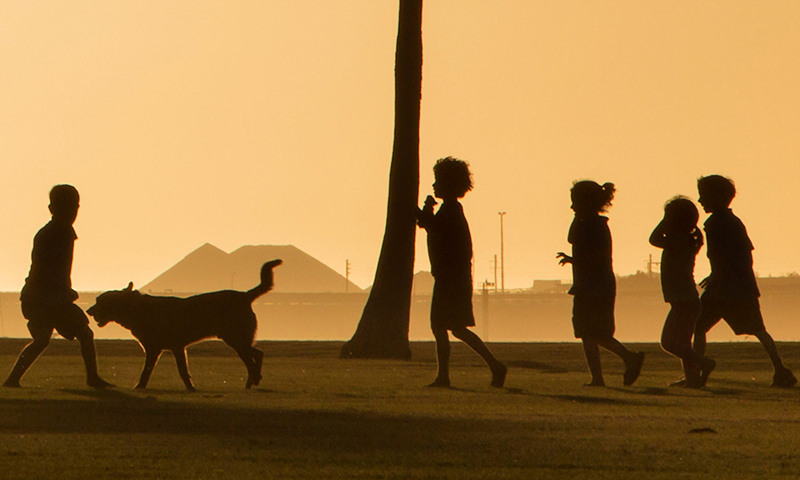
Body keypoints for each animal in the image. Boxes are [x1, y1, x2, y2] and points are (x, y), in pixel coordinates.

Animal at [86, 258, 282, 390]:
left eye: (99, 300)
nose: (88, 311)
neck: (136, 309)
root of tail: (245, 295)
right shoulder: (175, 348)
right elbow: (180, 371)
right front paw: (190, 388)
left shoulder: (160, 349)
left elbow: (150, 370)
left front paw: (140, 387)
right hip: (238, 340)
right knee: (257, 355)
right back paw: (253, 381)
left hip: (235, 339)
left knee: (252, 359)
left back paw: (254, 379)